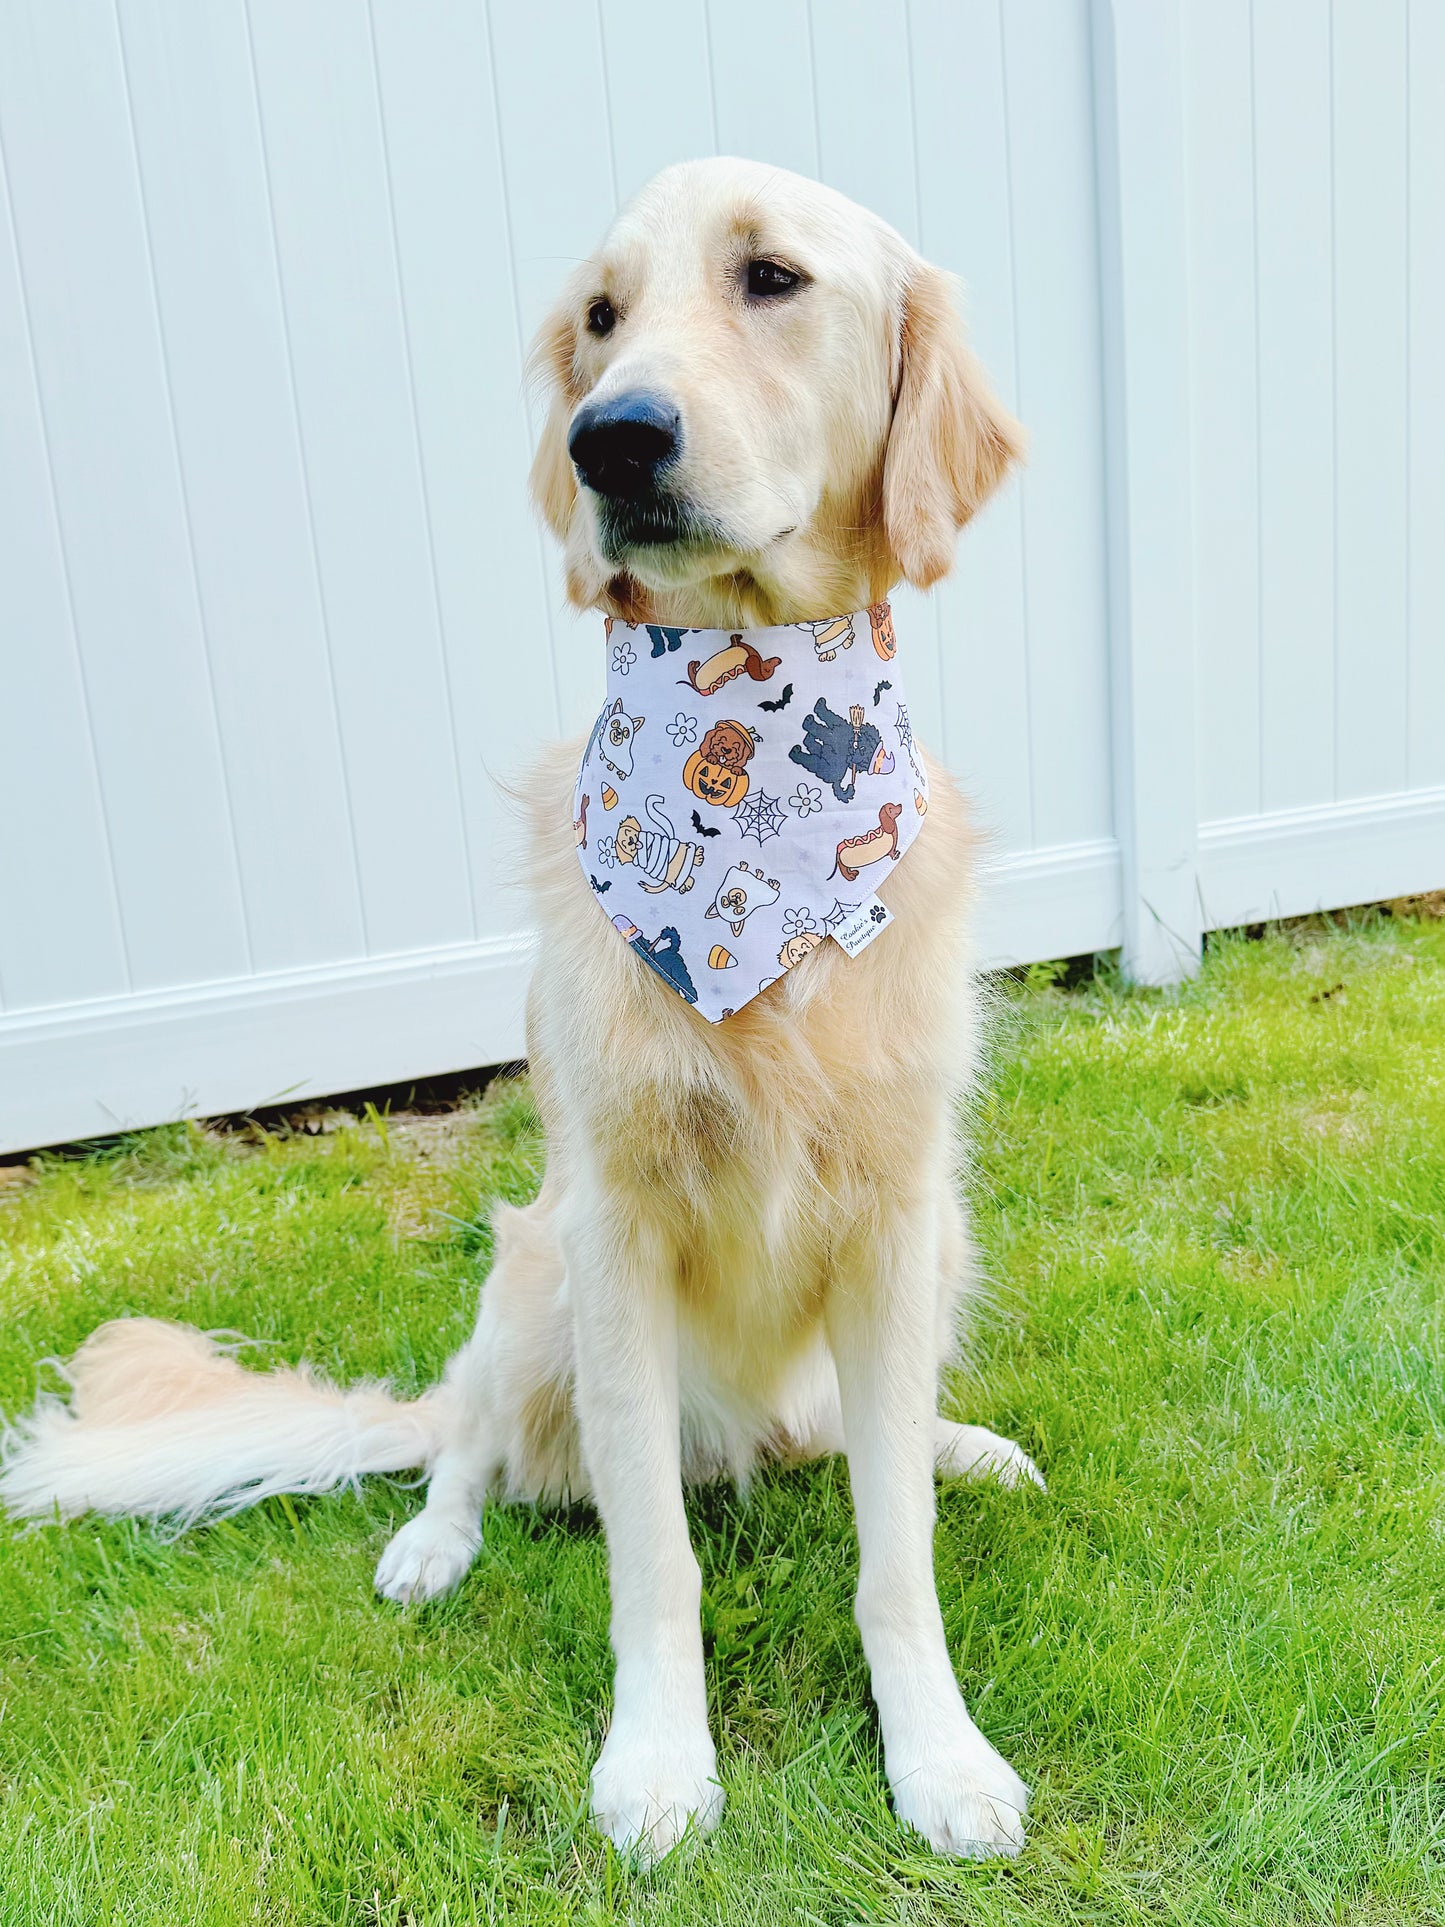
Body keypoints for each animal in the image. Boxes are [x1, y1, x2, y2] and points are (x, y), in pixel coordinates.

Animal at [0, 161, 1040, 1865]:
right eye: (600, 318)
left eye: (771, 276)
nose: (609, 438)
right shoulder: (614, 1228)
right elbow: (653, 1555)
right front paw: (659, 1762)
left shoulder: (894, 1221)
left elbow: (897, 1545)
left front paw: (937, 1753)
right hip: (531, 1278)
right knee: (464, 1438)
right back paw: (432, 1541)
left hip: (925, 1258)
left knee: (844, 1440)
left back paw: (967, 1443)